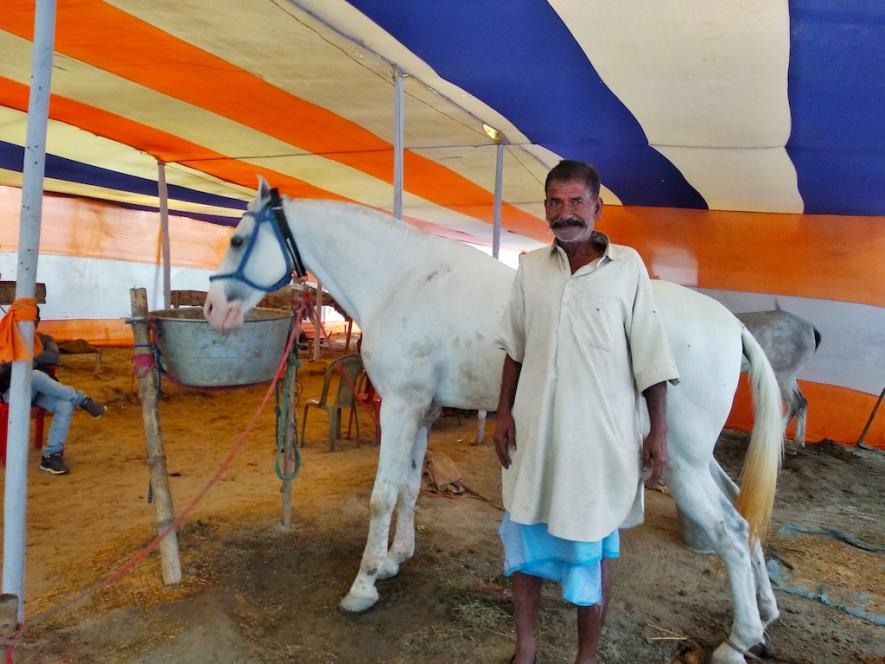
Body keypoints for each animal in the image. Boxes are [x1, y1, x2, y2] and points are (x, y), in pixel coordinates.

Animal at [204, 180, 784, 664]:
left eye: (238, 241)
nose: (212, 311)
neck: (401, 280)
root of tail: (731, 325)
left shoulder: (399, 407)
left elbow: (382, 495)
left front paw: (363, 586)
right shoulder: (421, 409)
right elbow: (410, 487)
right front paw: (395, 559)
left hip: (680, 463)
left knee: (732, 532)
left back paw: (737, 642)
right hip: (696, 459)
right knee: (744, 510)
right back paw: (765, 616)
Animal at [737, 310, 821, 448]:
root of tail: (811, 329)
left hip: (781, 377)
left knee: (795, 404)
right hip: (789, 378)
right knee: (803, 401)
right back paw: (799, 442)